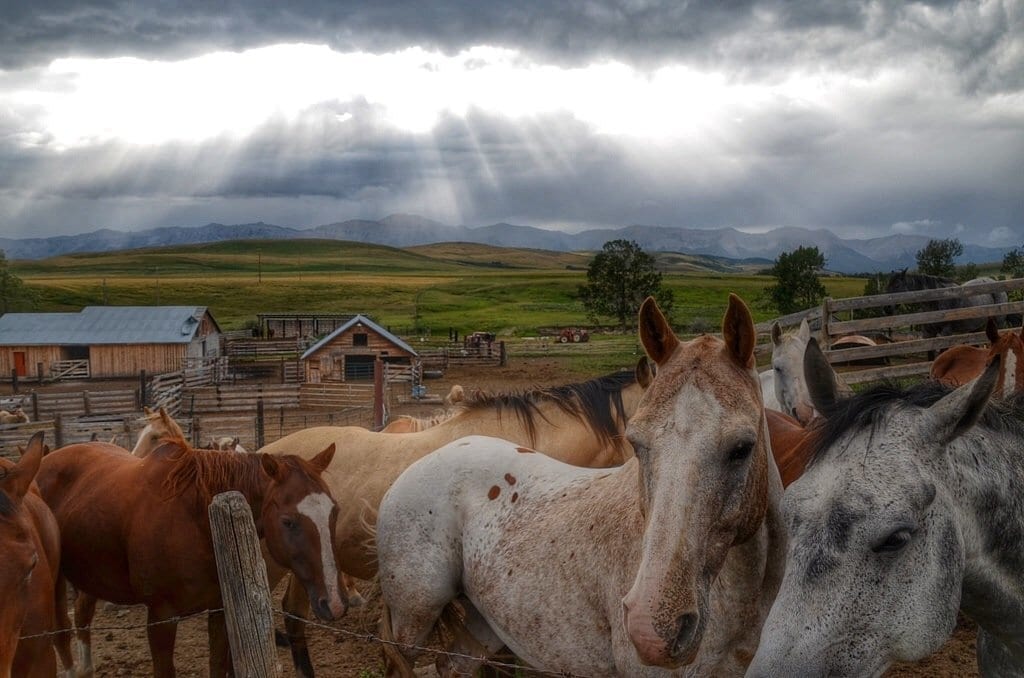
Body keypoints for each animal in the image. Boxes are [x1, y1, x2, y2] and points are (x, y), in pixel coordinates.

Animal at [36, 434, 344, 678]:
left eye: (334, 511)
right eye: (288, 522)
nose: (334, 603)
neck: (196, 518)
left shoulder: (219, 610)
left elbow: (217, 667)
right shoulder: (161, 618)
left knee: (82, 615)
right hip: (55, 582)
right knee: (61, 633)